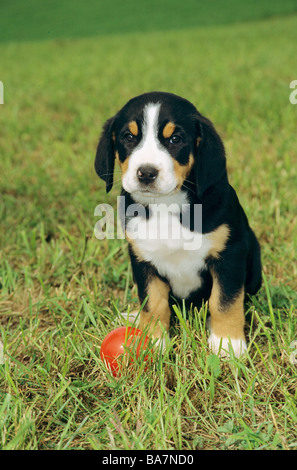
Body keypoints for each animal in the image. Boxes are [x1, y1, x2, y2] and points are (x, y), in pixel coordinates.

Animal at [94, 91, 260, 356]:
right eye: (128, 137)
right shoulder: (143, 260)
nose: (146, 172)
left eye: (175, 139)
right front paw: (153, 341)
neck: (166, 205)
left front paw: (228, 344)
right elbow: (153, 302)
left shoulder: (230, 255)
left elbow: (225, 301)